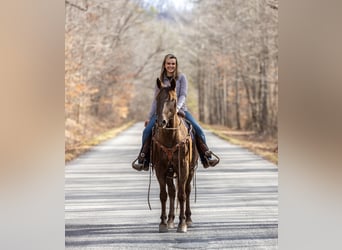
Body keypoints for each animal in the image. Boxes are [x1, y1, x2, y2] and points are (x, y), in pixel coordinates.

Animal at [150, 77, 198, 232]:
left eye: (172, 99)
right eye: (157, 98)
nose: (161, 122)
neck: (171, 137)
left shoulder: (183, 168)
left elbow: (182, 195)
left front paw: (182, 224)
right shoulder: (161, 169)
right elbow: (164, 195)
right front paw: (163, 223)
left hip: (190, 170)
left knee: (187, 191)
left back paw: (188, 219)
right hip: (170, 172)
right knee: (172, 191)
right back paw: (171, 220)